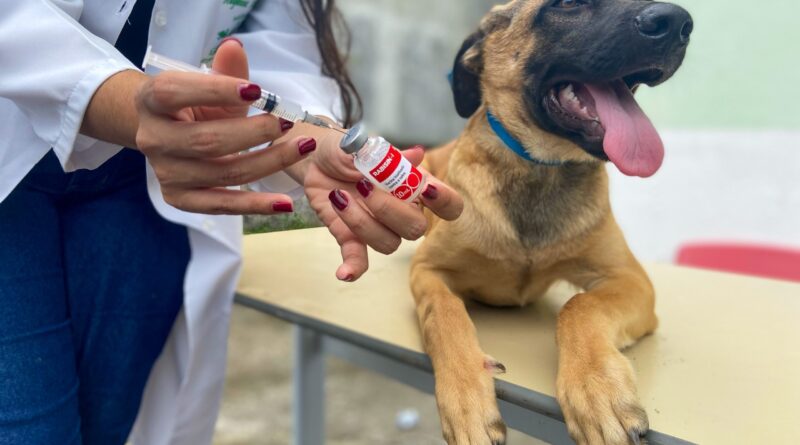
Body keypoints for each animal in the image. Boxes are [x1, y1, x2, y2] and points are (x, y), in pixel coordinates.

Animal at [410, 0, 692, 444]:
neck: (540, 168)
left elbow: (578, 305)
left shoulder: (630, 279)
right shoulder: (428, 270)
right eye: (567, 4)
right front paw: (465, 397)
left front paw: (596, 386)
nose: (679, 22)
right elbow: (444, 313)